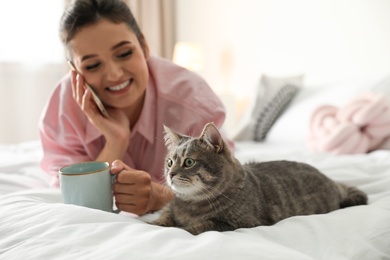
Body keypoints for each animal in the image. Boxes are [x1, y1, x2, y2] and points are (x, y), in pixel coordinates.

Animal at [151, 122, 368, 236]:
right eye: (169, 162)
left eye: (188, 162)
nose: (170, 174)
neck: (191, 203)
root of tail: (332, 181)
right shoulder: (170, 207)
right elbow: (164, 216)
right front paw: (155, 224)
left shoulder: (238, 224)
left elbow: (198, 226)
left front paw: (182, 228)